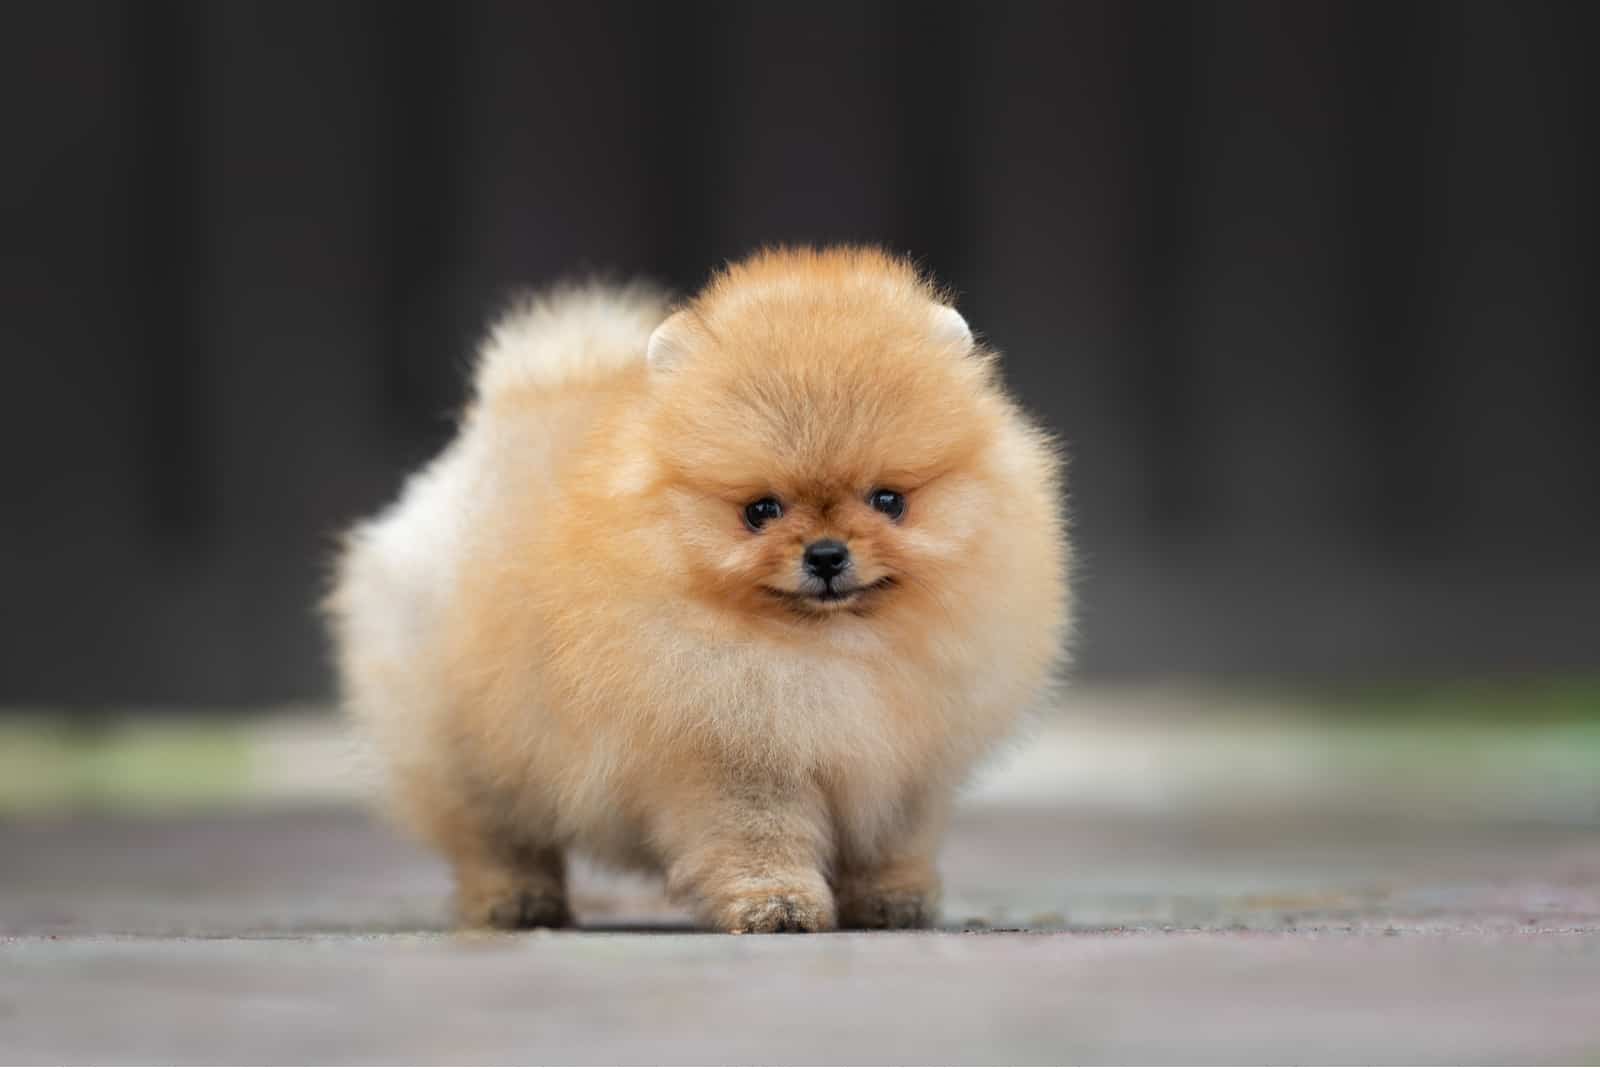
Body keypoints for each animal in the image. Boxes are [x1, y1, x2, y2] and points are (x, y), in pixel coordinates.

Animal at [324, 246, 1068, 927]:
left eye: (890, 501)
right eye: (760, 510)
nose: (827, 555)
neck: (833, 649)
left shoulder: (907, 765)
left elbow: (889, 842)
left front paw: (893, 900)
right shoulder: (735, 757)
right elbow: (760, 839)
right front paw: (778, 905)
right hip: (465, 744)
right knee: (493, 835)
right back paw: (515, 901)